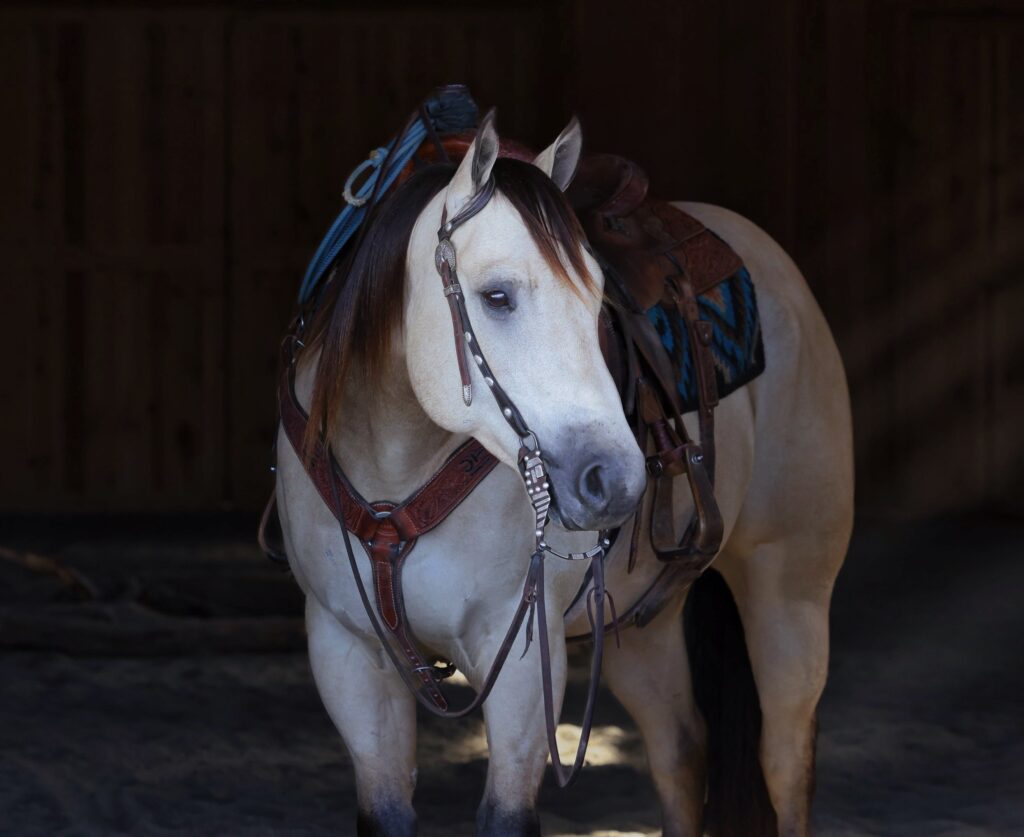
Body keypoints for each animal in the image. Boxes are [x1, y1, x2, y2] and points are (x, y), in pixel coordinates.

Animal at [274, 112, 854, 836]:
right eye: (496, 296)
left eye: (599, 300)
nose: (616, 479)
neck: (396, 471)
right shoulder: (348, 654)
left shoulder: (523, 658)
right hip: (642, 626)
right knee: (681, 752)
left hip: (790, 589)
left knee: (785, 760)